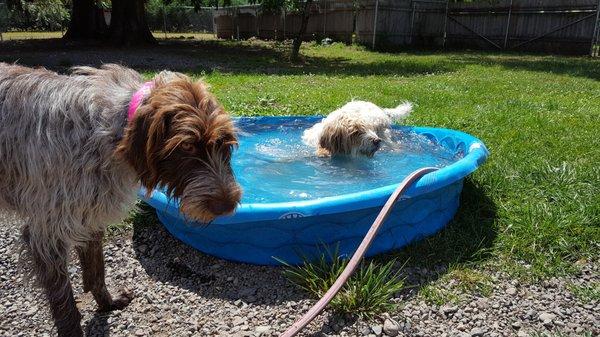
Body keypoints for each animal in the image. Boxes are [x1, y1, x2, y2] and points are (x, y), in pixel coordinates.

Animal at [0, 62, 241, 334]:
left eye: (223, 143)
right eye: (187, 146)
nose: (227, 205)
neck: (107, 130)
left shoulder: (90, 215)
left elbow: (97, 270)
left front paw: (107, 302)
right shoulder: (46, 234)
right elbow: (64, 302)